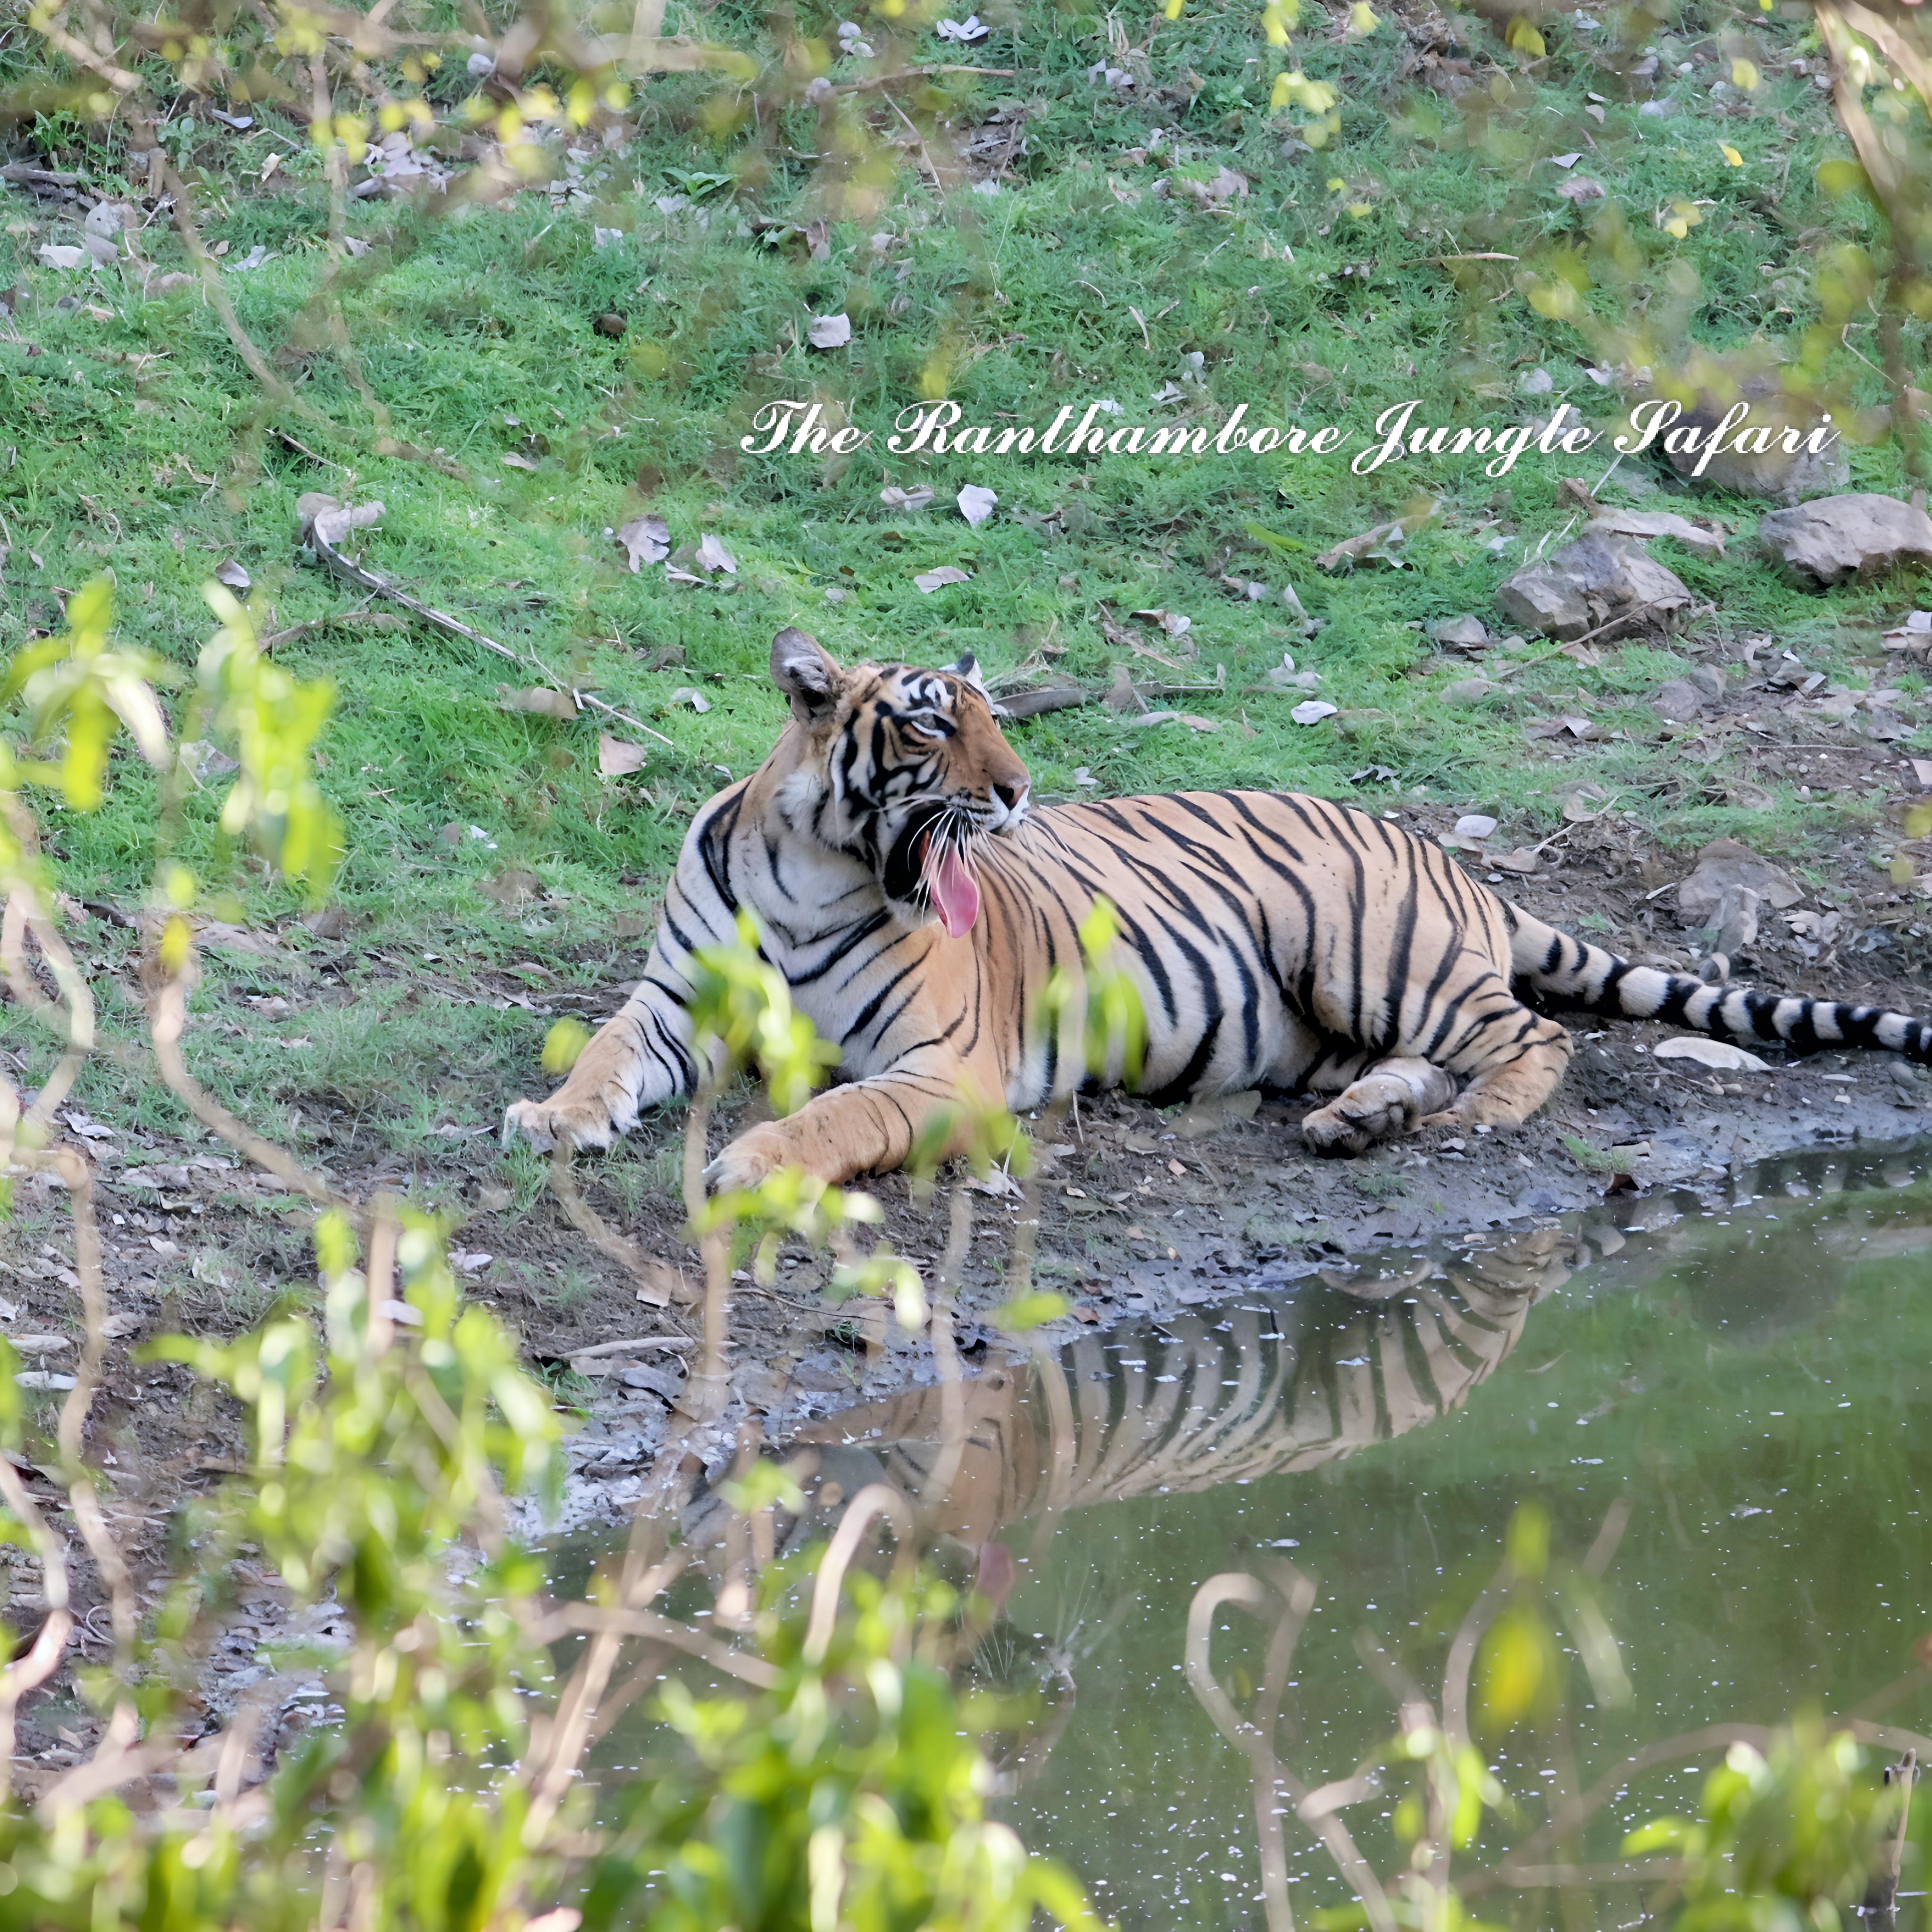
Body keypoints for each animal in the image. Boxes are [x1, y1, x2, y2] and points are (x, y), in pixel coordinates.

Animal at [503, 627, 1932, 1188]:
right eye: (931, 724)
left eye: (995, 720)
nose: (1019, 790)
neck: (818, 872)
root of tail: (1450, 859)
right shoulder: (673, 1002)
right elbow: (610, 1052)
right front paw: (555, 1118)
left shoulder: (944, 1067)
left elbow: (839, 1112)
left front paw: (752, 1159)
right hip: (1338, 1014)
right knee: (1417, 1059)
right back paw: (1359, 1122)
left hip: (1365, 951)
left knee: (1529, 1037)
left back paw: (1471, 1118)